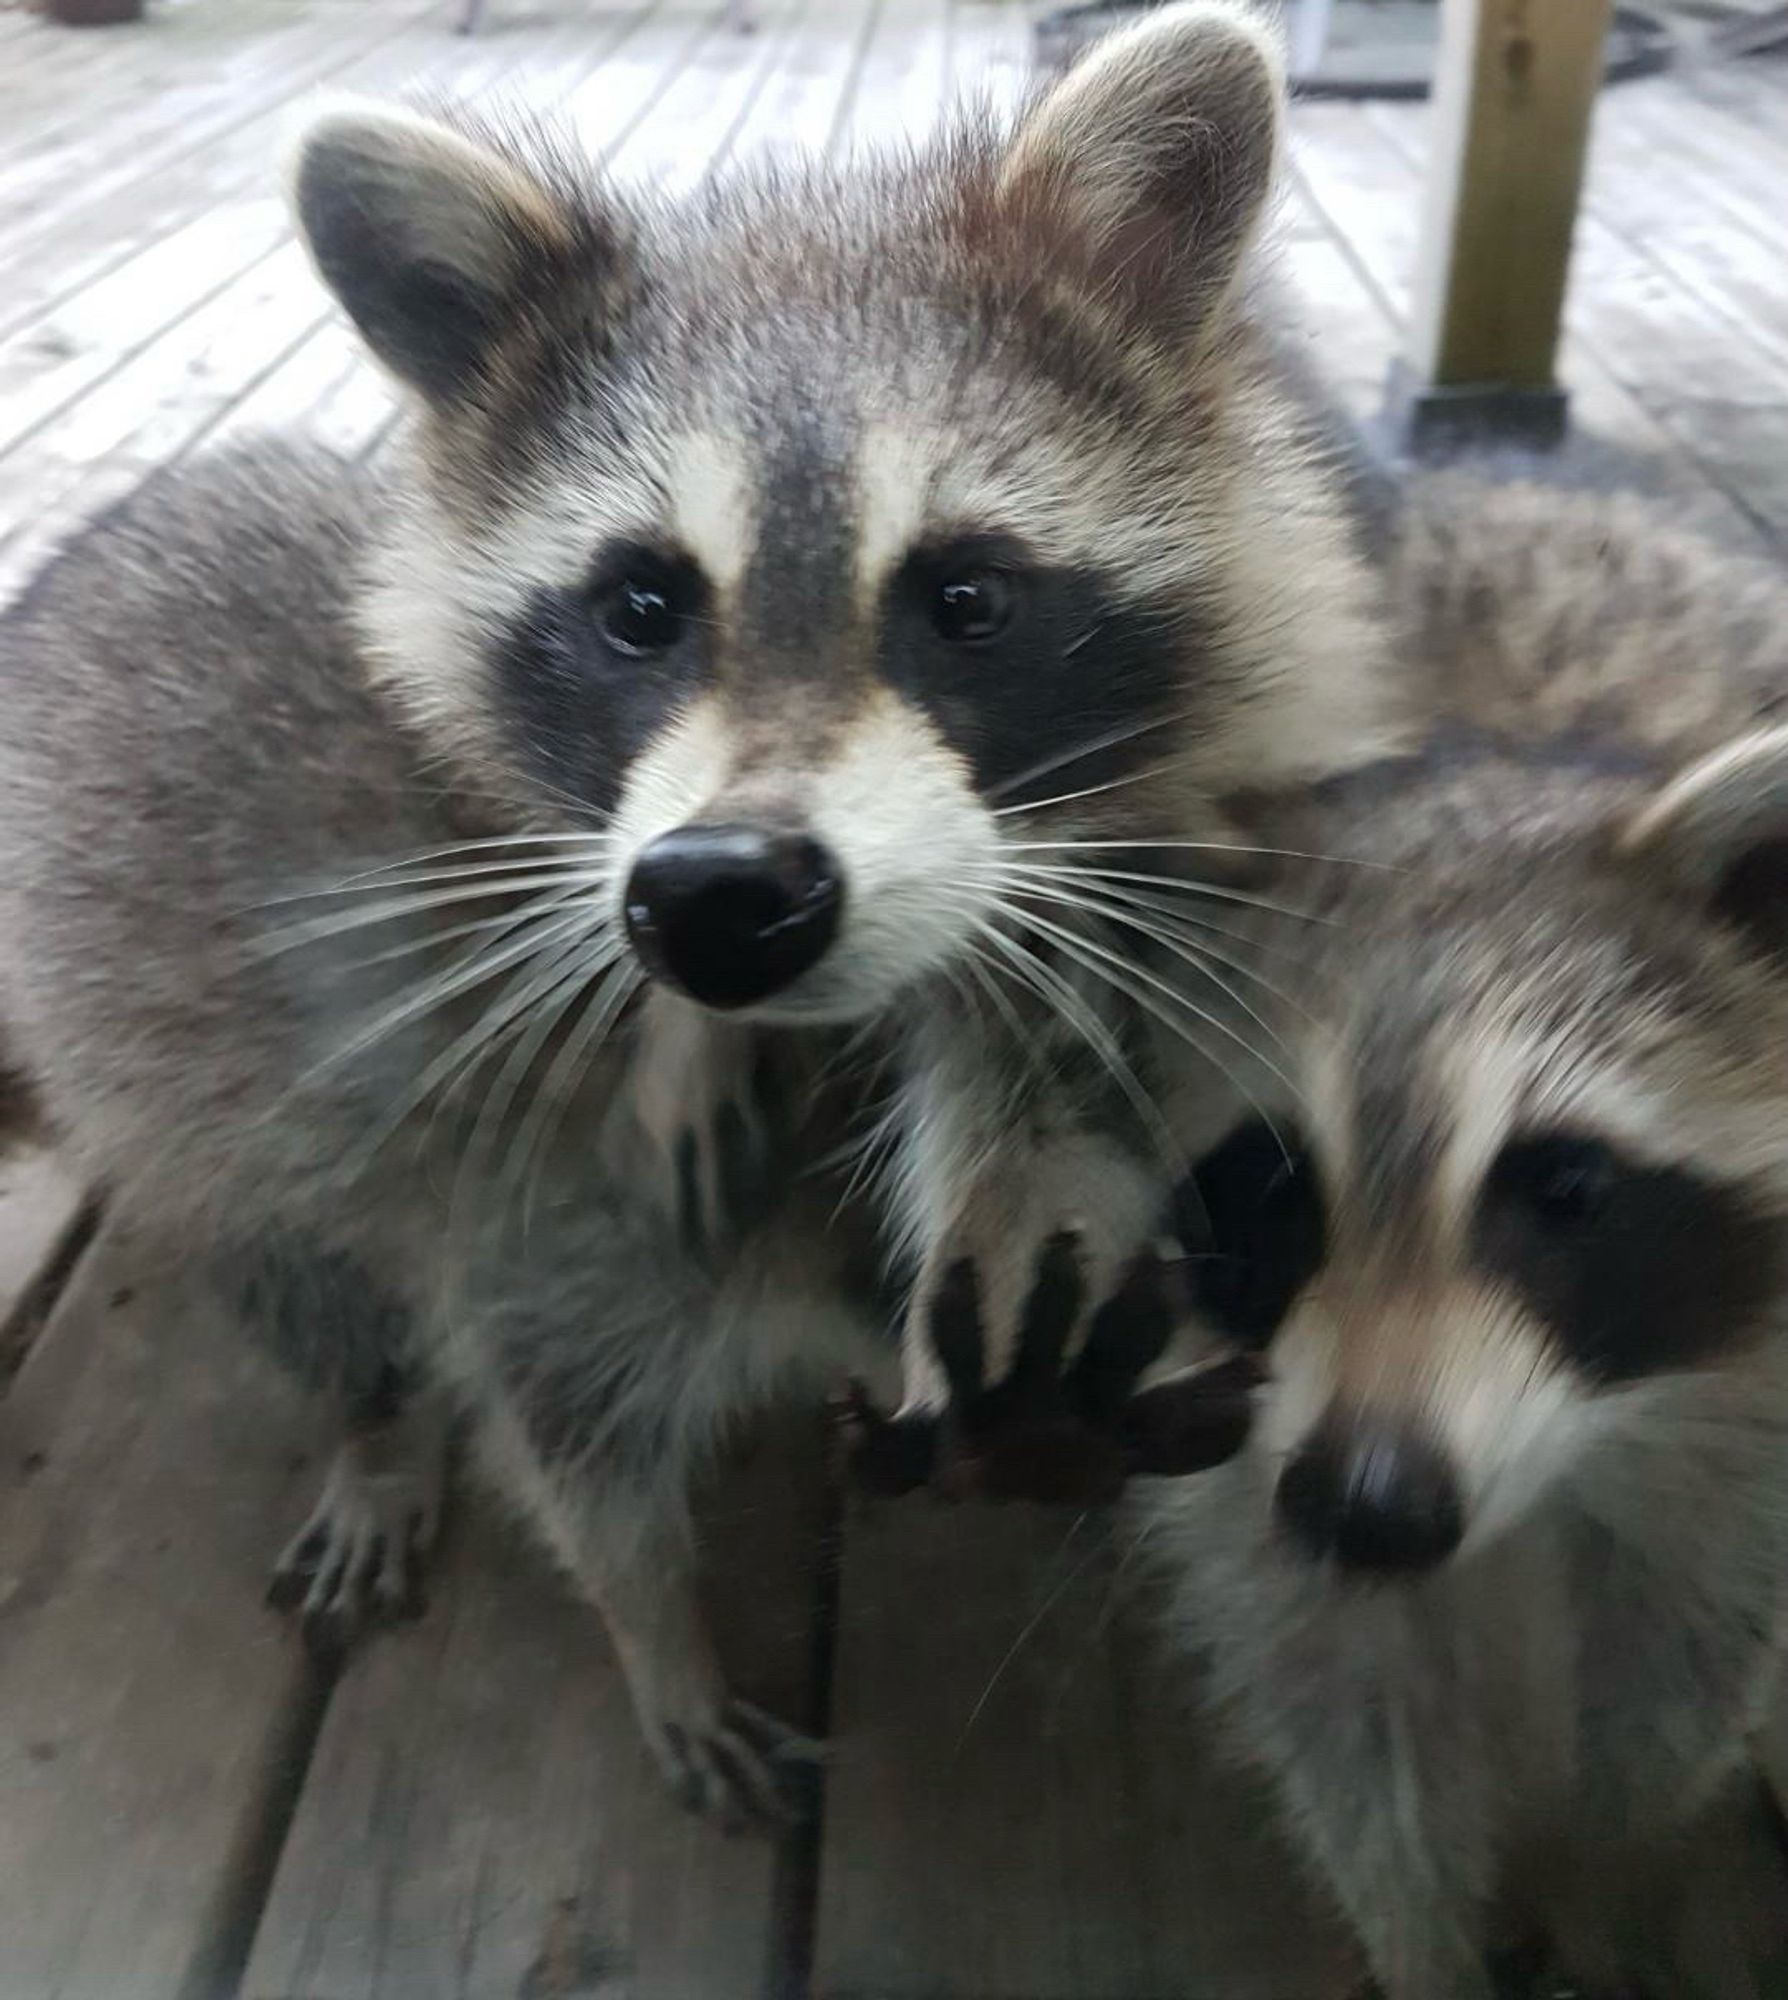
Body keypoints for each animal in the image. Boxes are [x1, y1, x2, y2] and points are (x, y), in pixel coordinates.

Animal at [0, 0, 1400, 1824]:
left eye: (968, 599)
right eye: (639, 609)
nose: (723, 899)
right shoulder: (551, 1212)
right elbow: (571, 1442)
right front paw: (656, 1628)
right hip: (168, 1088)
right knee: (298, 1258)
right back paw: (372, 1421)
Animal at [1136, 484, 1788, 2000]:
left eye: (1565, 1187)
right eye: (1268, 1192)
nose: (1368, 1507)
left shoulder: (1750, 1414)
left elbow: (1684, 1678)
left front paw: (1612, 1875)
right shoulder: (1242, 1440)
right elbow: (1346, 1715)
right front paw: (1425, 1939)